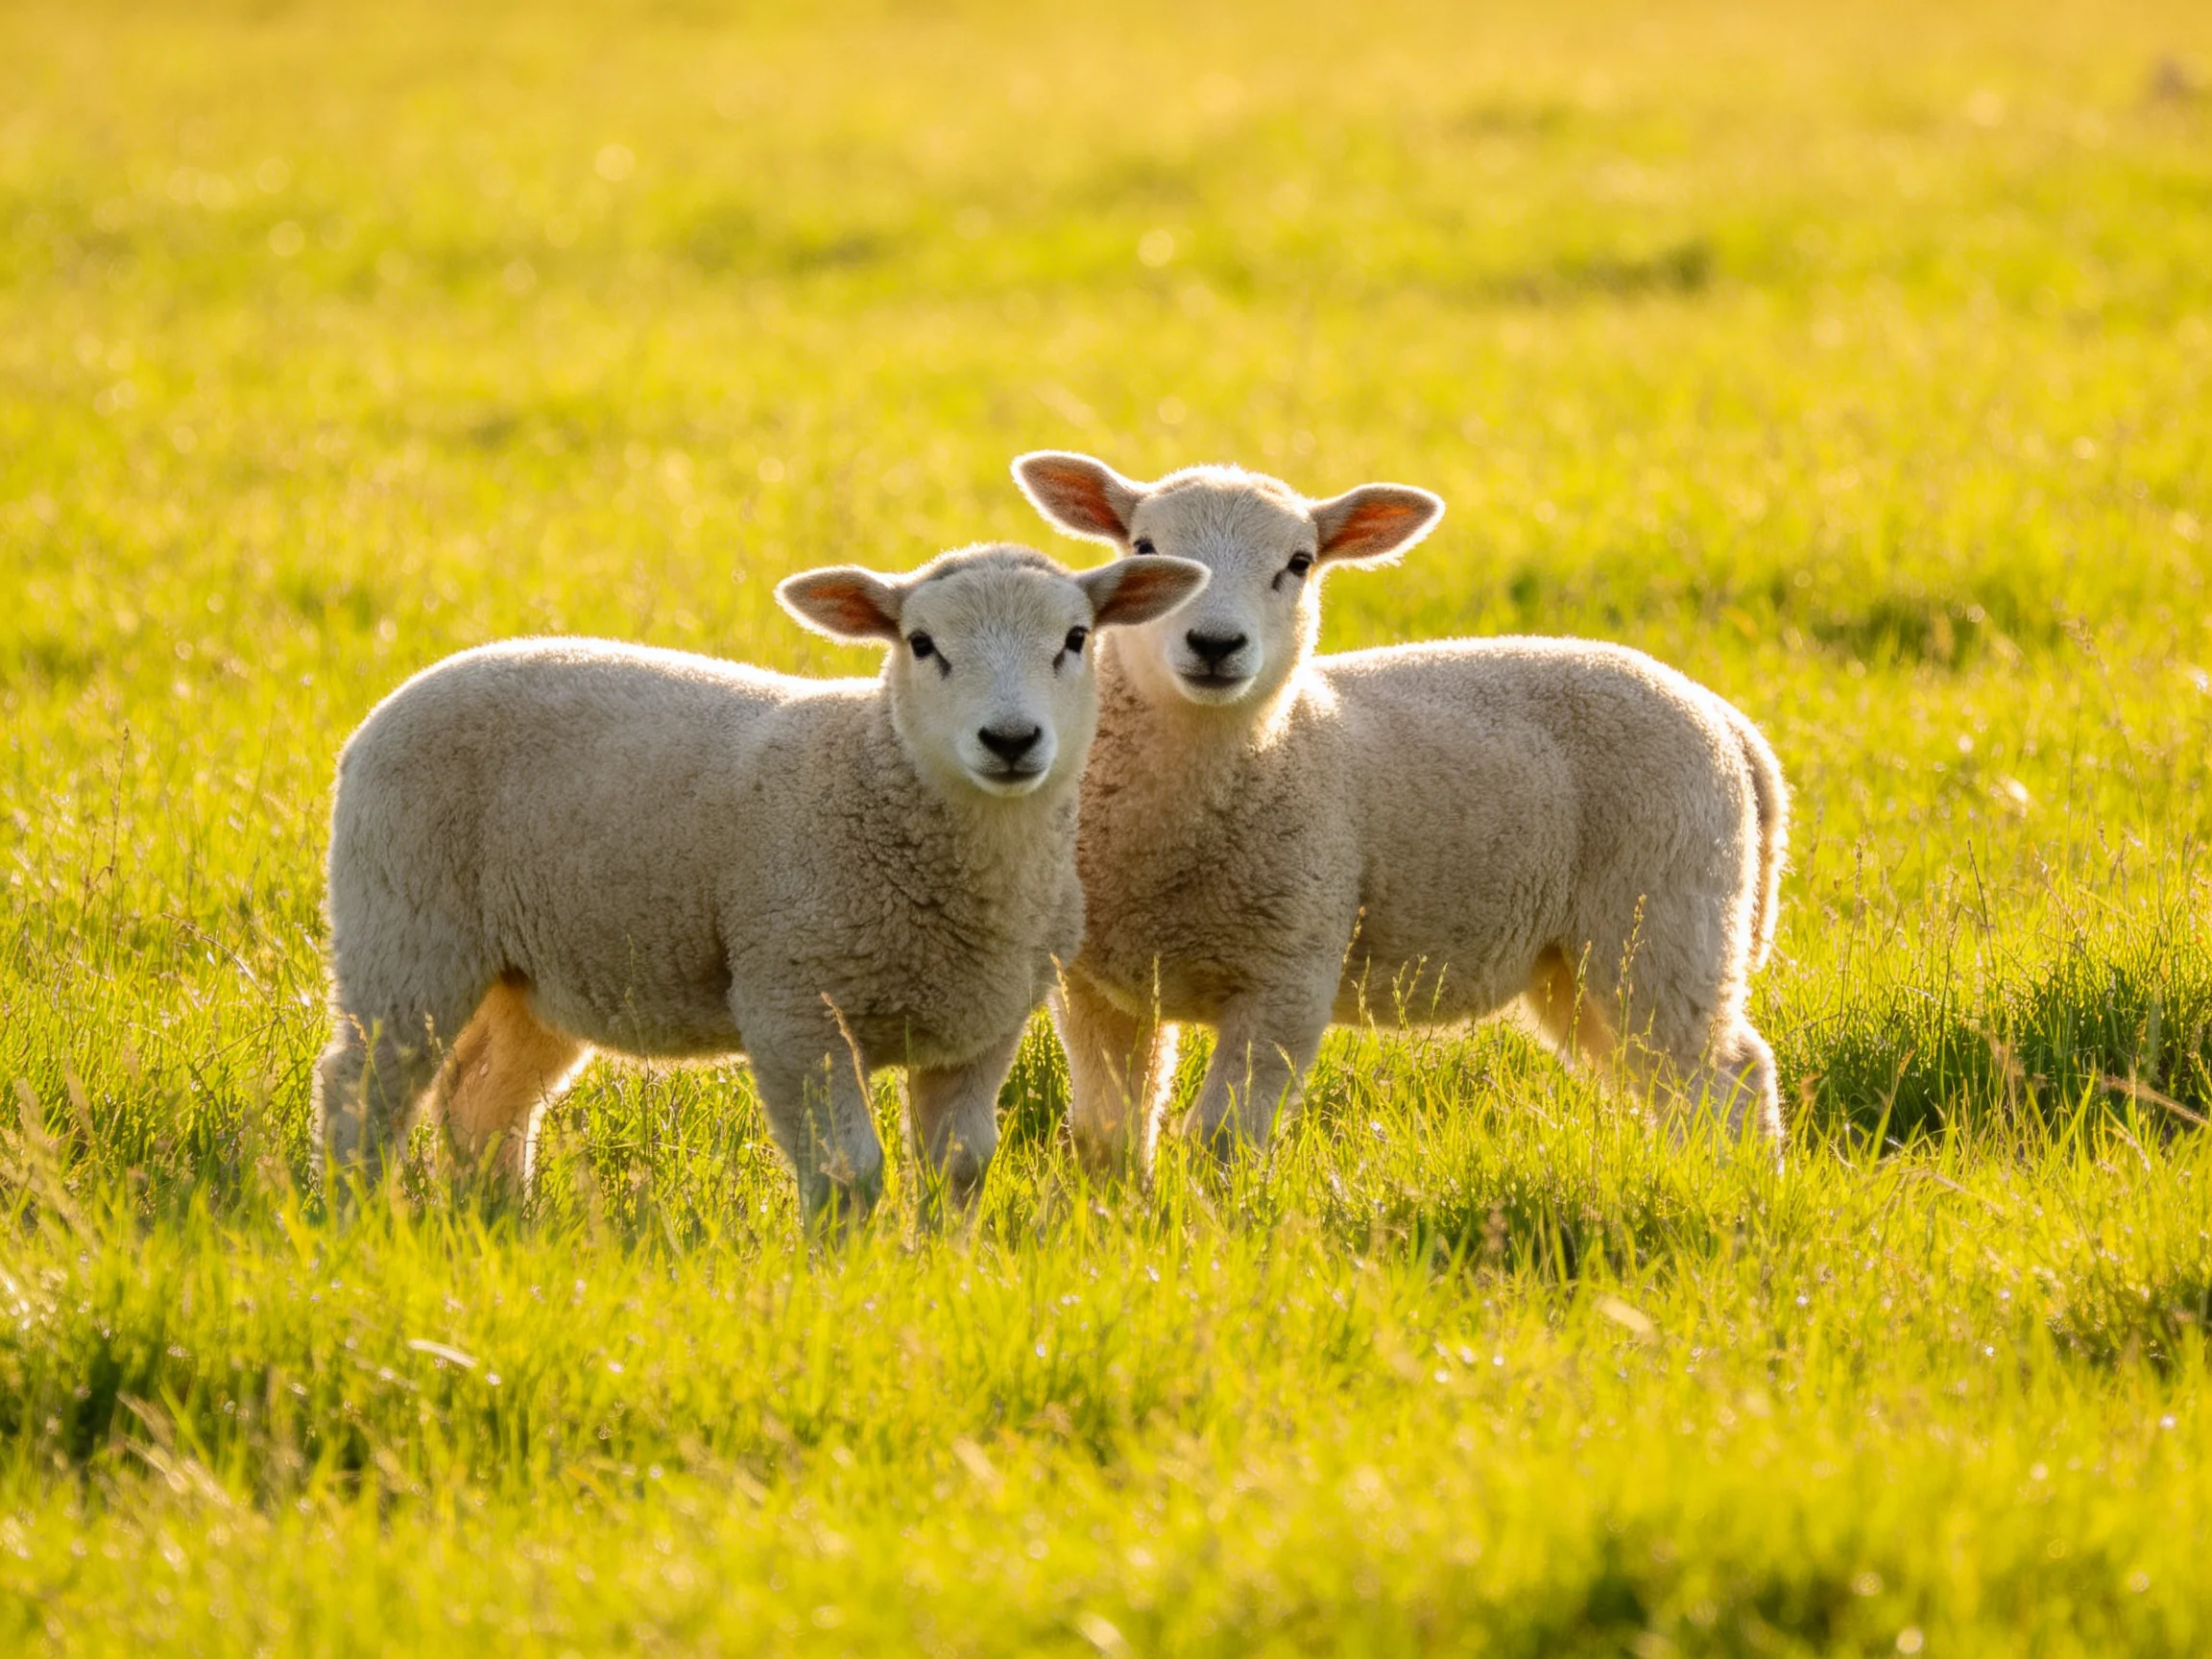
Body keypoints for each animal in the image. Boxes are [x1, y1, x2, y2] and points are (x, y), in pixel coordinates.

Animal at [310, 542, 1209, 1223]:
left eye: (1076, 638)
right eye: (921, 643)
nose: (1012, 739)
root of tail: (397, 699)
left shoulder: (983, 1023)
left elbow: (961, 1165)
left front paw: (942, 1266)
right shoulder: (792, 1004)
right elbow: (849, 1171)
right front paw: (843, 1279)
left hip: (534, 970)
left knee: (485, 1100)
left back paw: (499, 1220)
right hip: (405, 925)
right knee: (364, 1087)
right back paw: (354, 1220)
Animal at [1011, 451, 1789, 1169]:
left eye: (1299, 563)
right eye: (1144, 548)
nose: (1215, 644)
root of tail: (1729, 723)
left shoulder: (1290, 974)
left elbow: (1223, 1141)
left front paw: (1208, 1217)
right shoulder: (1093, 989)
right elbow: (1107, 1134)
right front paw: (1117, 1212)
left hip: (1664, 914)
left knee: (1726, 1073)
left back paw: (1733, 1187)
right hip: (1581, 961)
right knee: (1672, 1081)